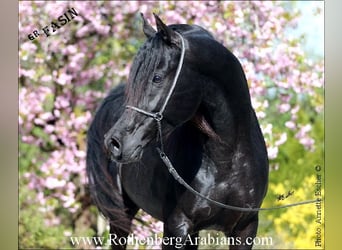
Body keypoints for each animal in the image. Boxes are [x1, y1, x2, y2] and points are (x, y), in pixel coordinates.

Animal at [87, 14, 268, 250]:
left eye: (157, 77)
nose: (114, 142)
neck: (227, 157)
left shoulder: (245, 228)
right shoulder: (177, 226)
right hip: (121, 215)